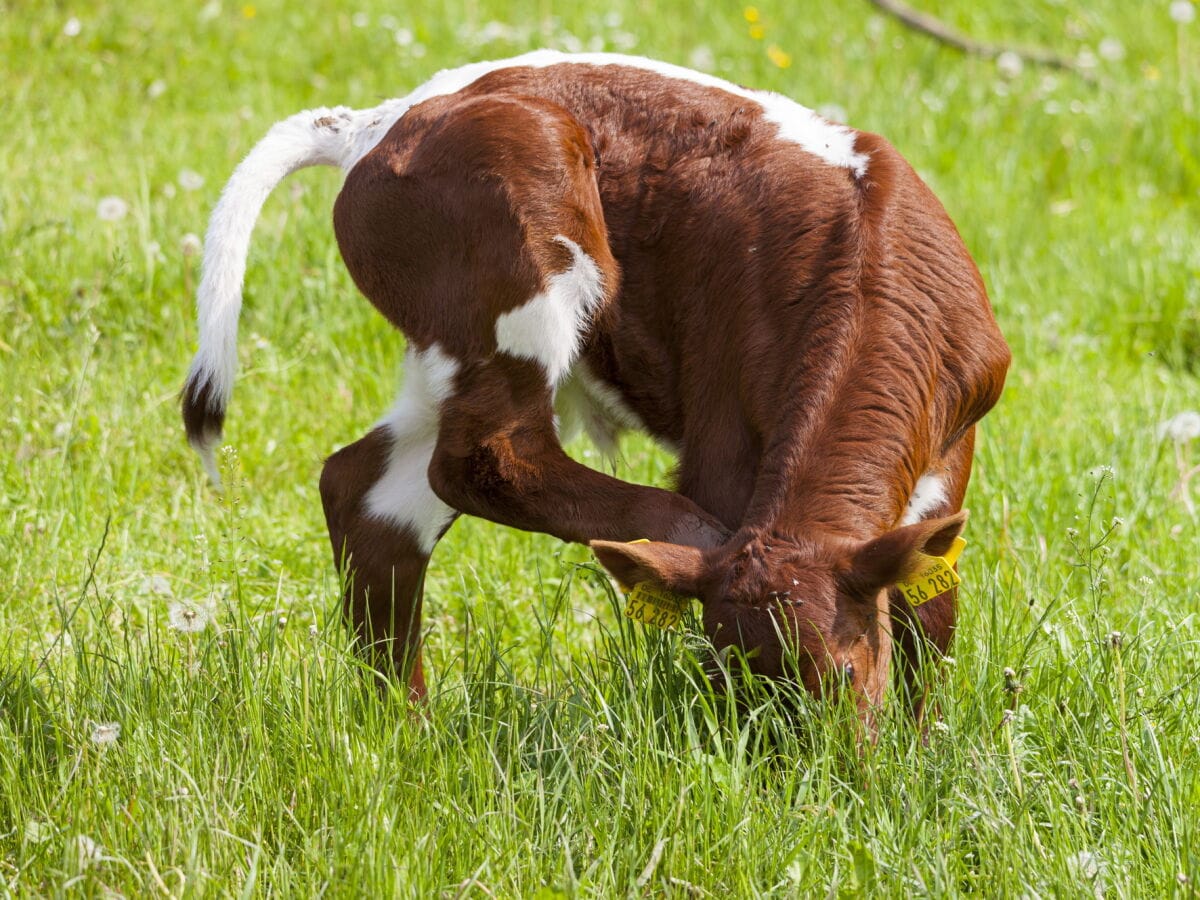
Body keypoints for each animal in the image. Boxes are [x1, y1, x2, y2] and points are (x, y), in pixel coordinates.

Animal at [182, 51, 1008, 710]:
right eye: (724, 683)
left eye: (842, 676)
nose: (811, 782)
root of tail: (374, 124)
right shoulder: (722, 439)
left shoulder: (952, 447)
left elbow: (928, 610)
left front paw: (917, 746)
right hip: (522, 243)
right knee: (485, 460)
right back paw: (670, 527)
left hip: (442, 354)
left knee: (368, 491)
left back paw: (403, 724)